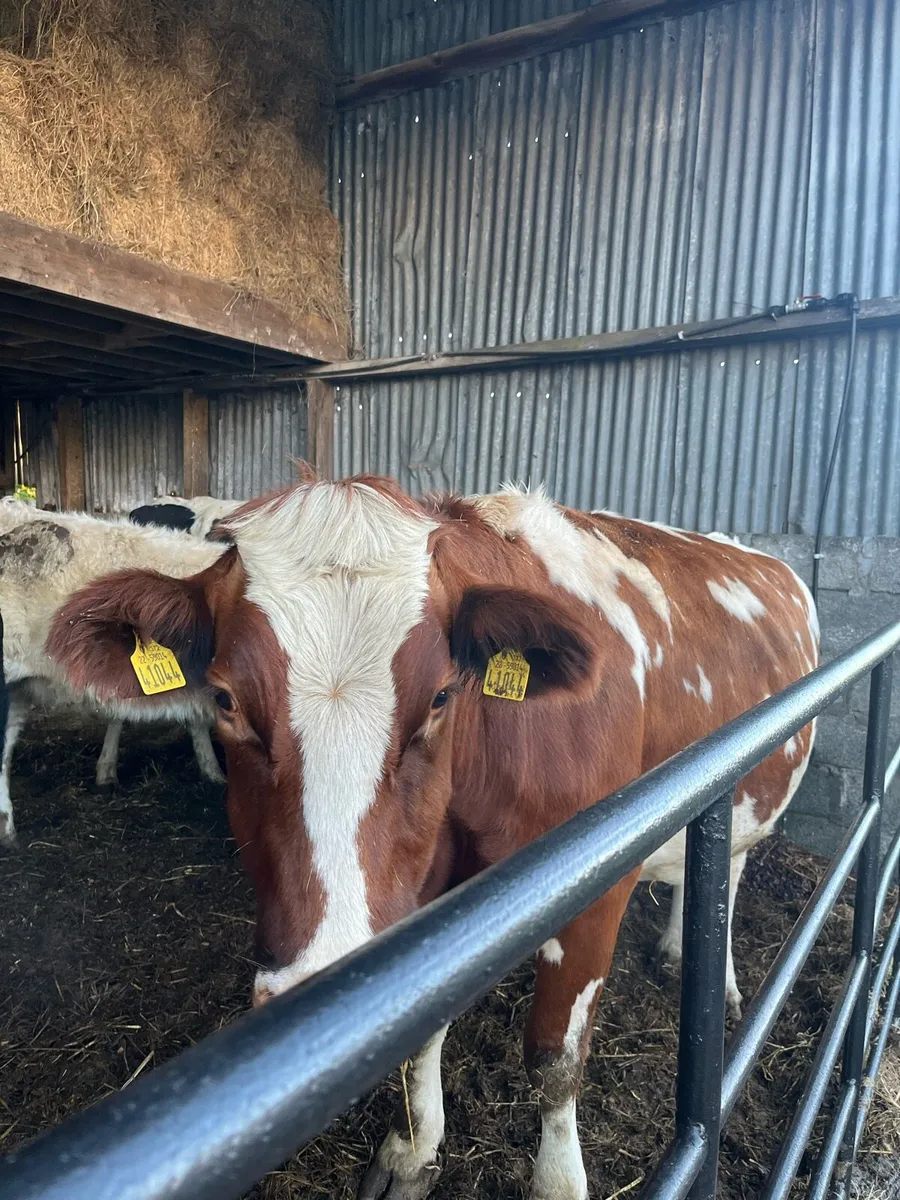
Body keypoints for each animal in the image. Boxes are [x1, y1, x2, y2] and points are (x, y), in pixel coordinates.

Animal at [47, 475, 819, 1200]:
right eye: (226, 699)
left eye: (444, 694)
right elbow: (420, 1029)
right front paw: (412, 1151)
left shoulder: (601, 886)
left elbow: (555, 1058)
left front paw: (558, 1180)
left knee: (732, 867)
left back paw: (718, 977)